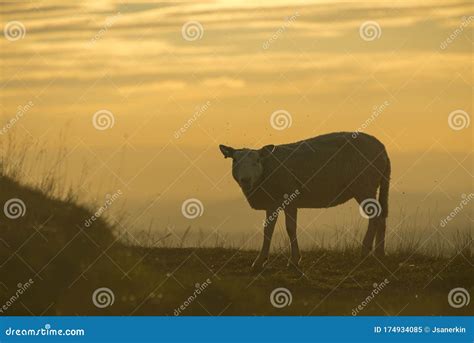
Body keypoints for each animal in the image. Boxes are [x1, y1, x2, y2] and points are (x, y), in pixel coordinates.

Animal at [220, 133, 390, 272]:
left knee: (375, 217)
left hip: (364, 184)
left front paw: (294, 261)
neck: (266, 172)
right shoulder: (272, 202)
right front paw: (260, 262)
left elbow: (290, 229)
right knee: (381, 216)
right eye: (235, 160)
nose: (245, 180)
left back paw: (365, 251)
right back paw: (380, 253)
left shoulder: (289, 198)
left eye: (257, 160)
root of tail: (382, 149)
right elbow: (268, 230)